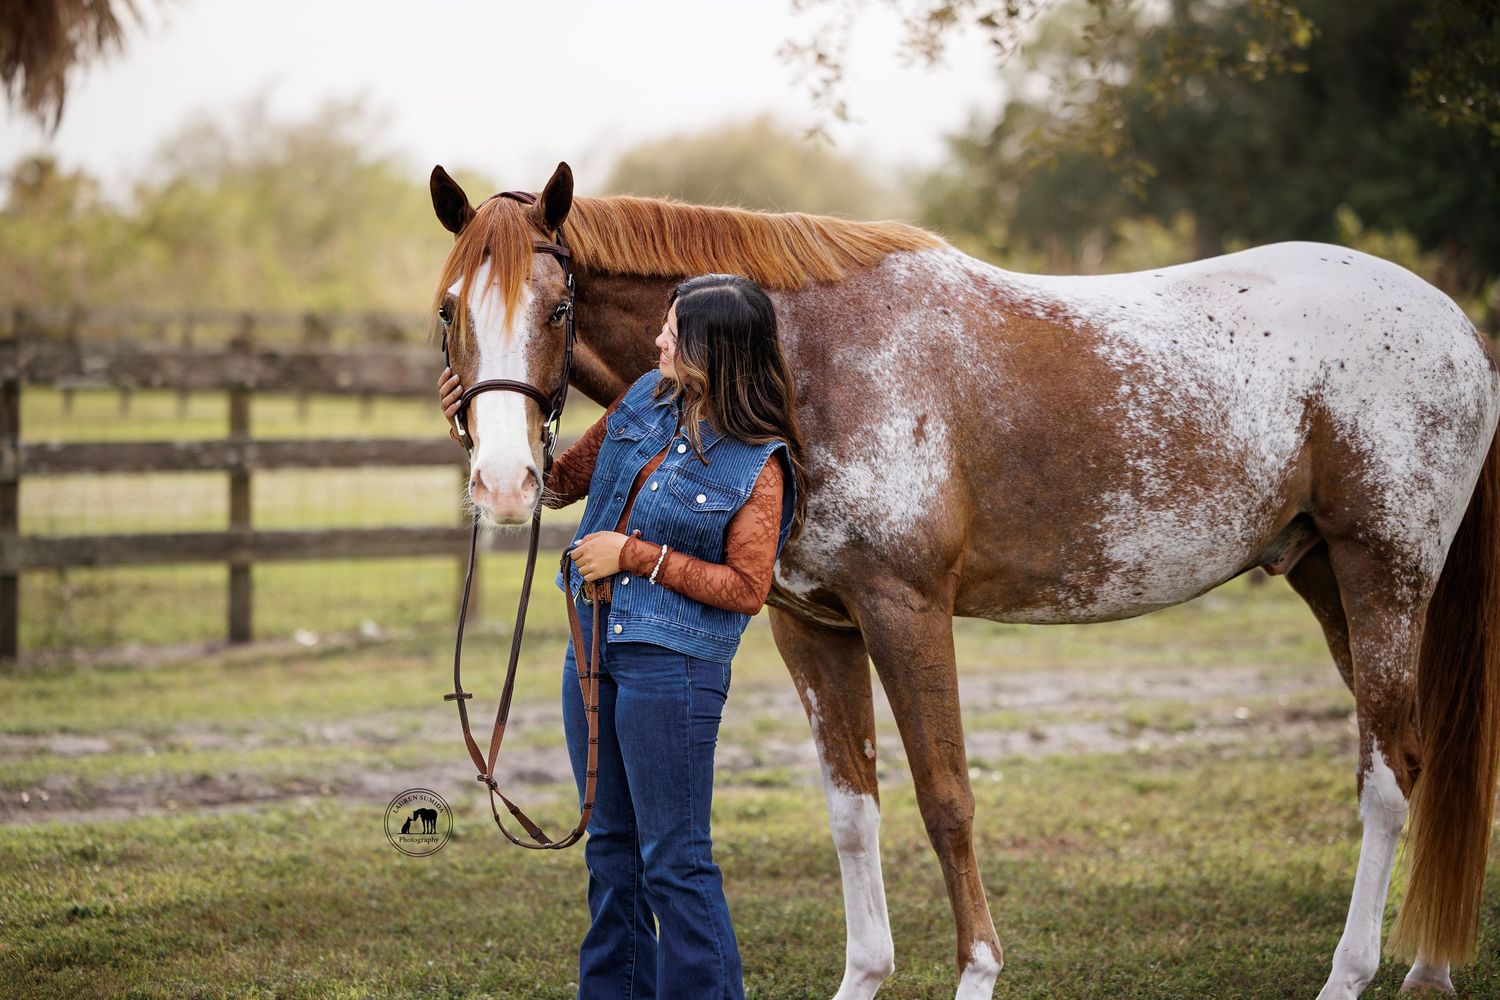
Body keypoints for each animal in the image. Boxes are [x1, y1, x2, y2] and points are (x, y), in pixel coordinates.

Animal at [427, 160, 1500, 1000]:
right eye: (449, 312)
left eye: (556, 307)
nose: (506, 483)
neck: (798, 363)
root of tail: (1458, 328)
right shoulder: (814, 626)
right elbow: (852, 807)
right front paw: (863, 977)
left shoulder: (905, 609)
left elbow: (945, 799)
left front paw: (978, 972)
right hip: (1324, 575)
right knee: (1414, 759)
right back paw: (1426, 968)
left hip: (1384, 573)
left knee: (1387, 774)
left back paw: (1353, 973)